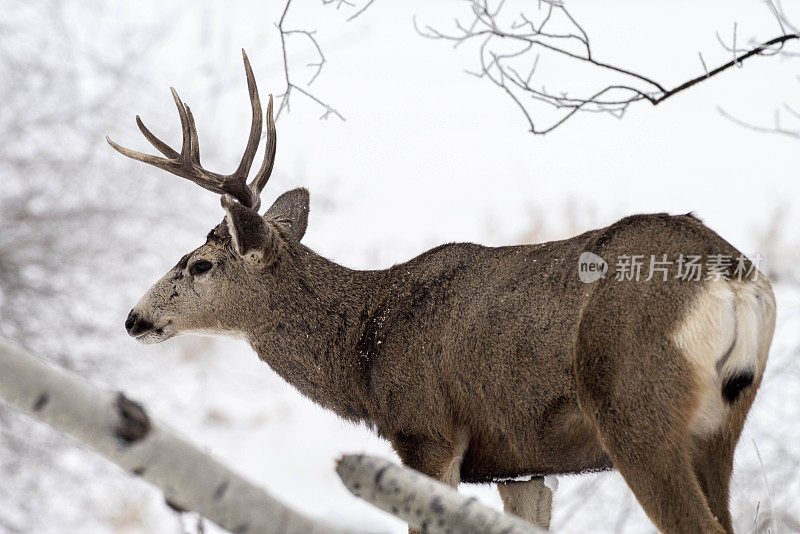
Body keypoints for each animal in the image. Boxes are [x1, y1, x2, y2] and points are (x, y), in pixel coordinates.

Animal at [108, 51, 776, 534]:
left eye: (200, 264)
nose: (134, 318)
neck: (365, 345)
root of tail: (729, 271)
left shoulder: (426, 432)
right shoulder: (524, 469)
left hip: (636, 410)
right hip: (720, 426)